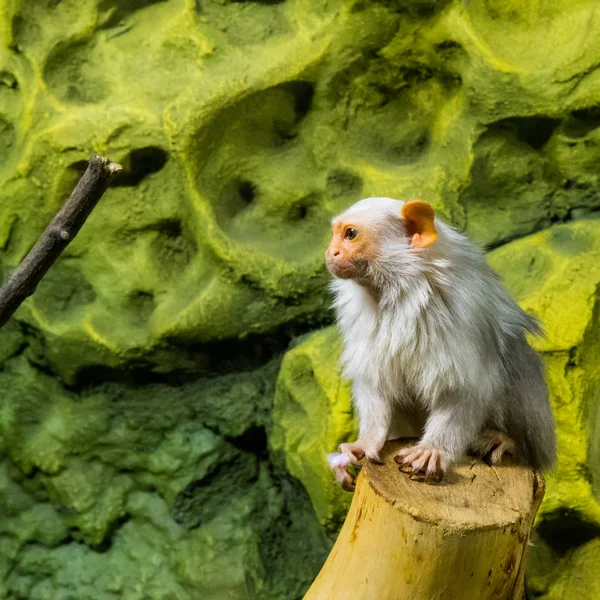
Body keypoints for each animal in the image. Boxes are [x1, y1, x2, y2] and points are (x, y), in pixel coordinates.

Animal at [326, 197, 556, 488]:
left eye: (351, 234)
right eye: (336, 234)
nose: (330, 252)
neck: (398, 291)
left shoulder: (462, 316)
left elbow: (466, 389)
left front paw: (433, 450)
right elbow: (374, 384)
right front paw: (365, 443)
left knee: (514, 356)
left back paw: (507, 442)